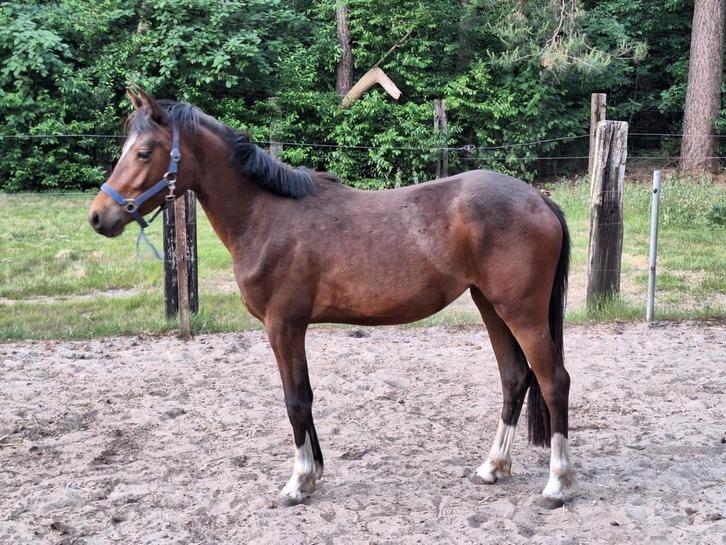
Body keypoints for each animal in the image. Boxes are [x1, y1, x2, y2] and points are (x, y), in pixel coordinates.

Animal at [89, 90, 574, 508]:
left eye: (144, 152)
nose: (98, 216)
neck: (265, 216)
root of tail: (539, 199)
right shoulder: (291, 328)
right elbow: (303, 395)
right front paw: (314, 473)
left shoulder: (283, 325)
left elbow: (294, 400)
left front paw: (298, 482)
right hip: (490, 305)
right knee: (514, 378)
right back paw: (493, 466)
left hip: (522, 313)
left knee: (553, 381)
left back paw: (557, 484)